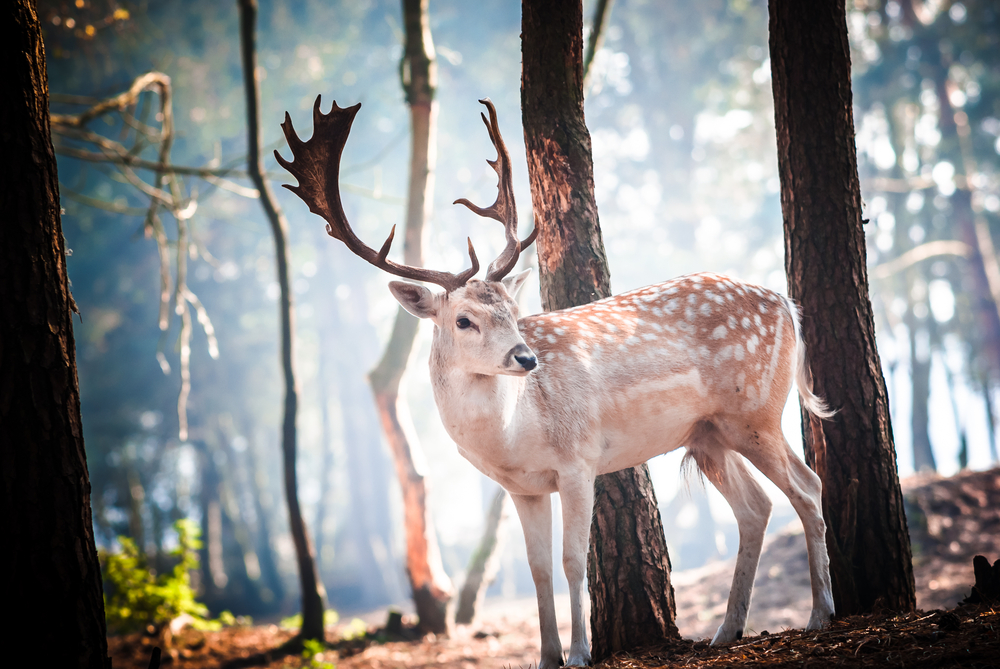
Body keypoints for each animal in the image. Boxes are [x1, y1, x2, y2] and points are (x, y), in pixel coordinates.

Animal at [274, 96, 836, 664]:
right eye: (464, 320)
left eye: (514, 309)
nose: (526, 358)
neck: (513, 435)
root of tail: (787, 303)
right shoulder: (522, 487)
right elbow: (538, 568)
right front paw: (547, 655)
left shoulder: (579, 459)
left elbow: (573, 560)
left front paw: (581, 652)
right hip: (709, 434)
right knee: (756, 507)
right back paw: (727, 631)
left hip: (755, 410)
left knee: (807, 487)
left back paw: (819, 614)